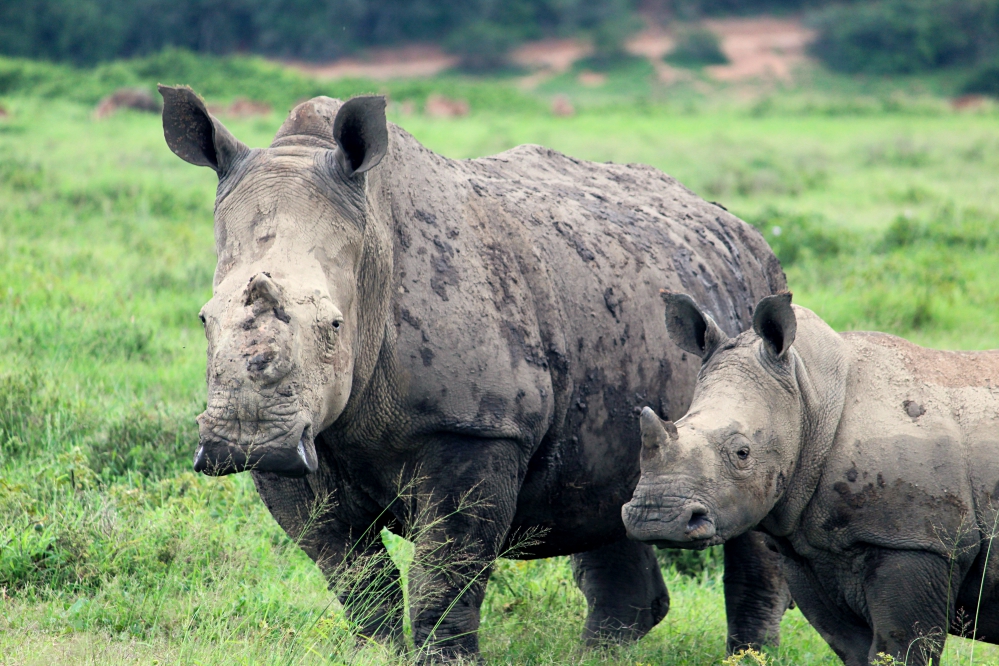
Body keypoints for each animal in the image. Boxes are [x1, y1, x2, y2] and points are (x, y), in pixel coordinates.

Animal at [160, 85, 792, 656]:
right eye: (203, 319)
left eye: (335, 326)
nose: (246, 439)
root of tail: (743, 230)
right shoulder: (301, 447)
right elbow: (353, 573)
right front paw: (377, 651)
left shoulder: (478, 426)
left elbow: (446, 568)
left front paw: (443, 656)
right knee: (601, 487)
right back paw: (598, 654)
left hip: (757, 321)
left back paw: (749, 655)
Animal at [624, 292, 999, 664]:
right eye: (676, 423)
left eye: (743, 452)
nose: (656, 518)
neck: (810, 396)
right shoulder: (808, 551)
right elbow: (852, 647)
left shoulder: (917, 542)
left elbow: (901, 648)